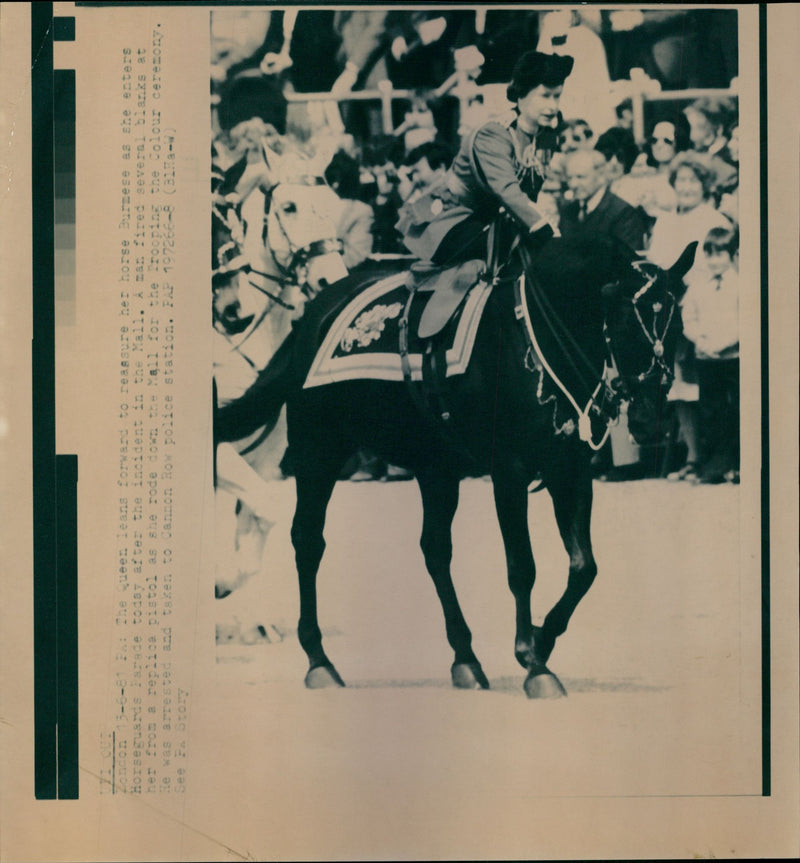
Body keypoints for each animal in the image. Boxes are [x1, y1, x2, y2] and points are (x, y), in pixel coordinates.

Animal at [216, 235, 696, 696]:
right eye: (624, 322)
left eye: (677, 328)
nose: (649, 422)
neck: (535, 341)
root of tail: (315, 314)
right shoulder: (510, 473)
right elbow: (522, 567)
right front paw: (533, 661)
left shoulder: (570, 471)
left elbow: (584, 567)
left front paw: (541, 640)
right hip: (320, 452)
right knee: (307, 541)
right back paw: (317, 658)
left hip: (435, 469)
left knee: (434, 551)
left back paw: (465, 658)